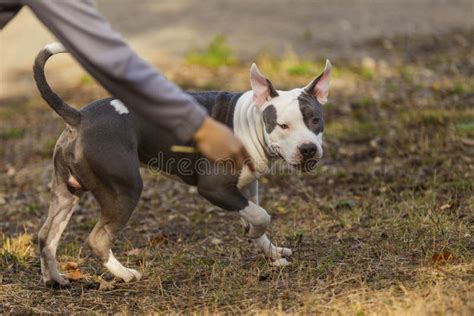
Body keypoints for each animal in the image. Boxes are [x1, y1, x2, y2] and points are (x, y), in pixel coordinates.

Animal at [35, 42, 332, 286]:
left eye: (315, 120)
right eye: (283, 125)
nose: (308, 149)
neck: (250, 120)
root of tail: (78, 117)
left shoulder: (248, 186)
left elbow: (255, 214)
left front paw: (271, 252)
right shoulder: (214, 188)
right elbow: (261, 216)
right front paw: (256, 234)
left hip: (66, 193)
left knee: (46, 236)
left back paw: (55, 279)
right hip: (123, 189)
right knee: (97, 238)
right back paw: (126, 274)